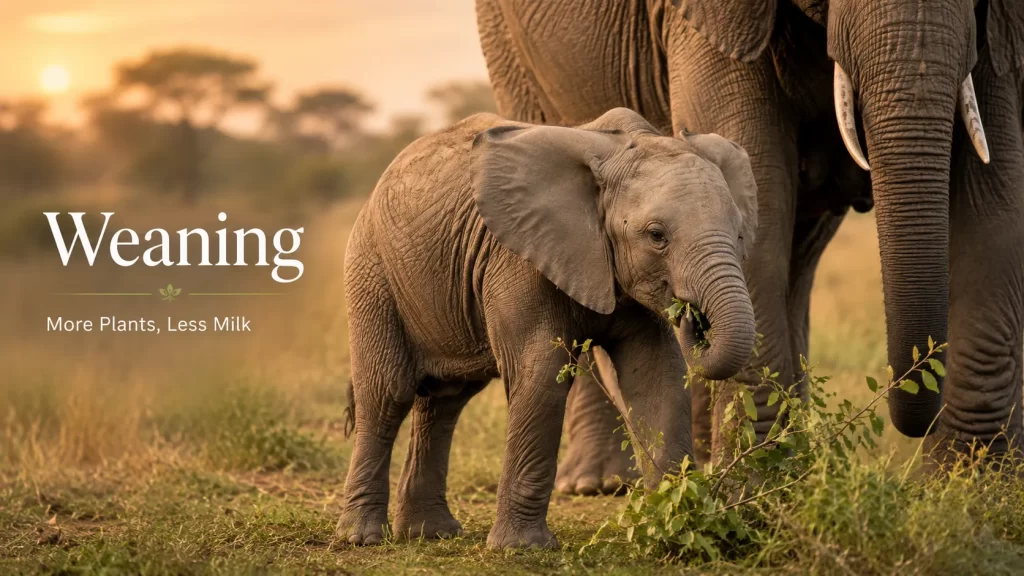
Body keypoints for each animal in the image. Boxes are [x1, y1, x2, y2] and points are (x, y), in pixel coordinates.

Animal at [337, 107, 758, 549]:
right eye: (656, 236)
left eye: (739, 233)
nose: (694, 316)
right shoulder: (516, 259)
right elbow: (541, 371)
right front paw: (521, 548)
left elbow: (656, 373)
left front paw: (680, 526)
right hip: (371, 272)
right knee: (388, 394)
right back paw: (363, 538)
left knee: (445, 400)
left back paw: (430, 533)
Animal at [477, 0, 1024, 488]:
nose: (691, 319)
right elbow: (754, 160)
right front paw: (758, 484)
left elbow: (994, 191)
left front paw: (975, 488)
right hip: (511, 54)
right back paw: (603, 482)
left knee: (800, 255)